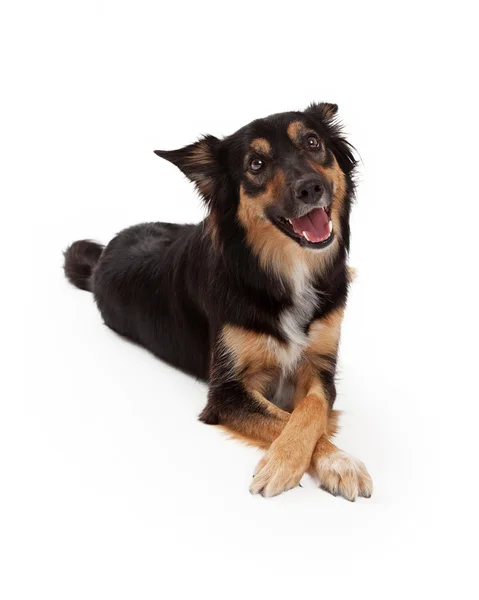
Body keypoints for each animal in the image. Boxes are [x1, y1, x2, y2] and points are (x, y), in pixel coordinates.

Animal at [63, 104, 374, 502]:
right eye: (256, 163)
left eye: (312, 142)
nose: (311, 187)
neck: (283, 270)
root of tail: (104, 252)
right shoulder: (225, 392)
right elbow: (283, 419)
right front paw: (291, 461)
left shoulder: (321, 367)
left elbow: (310, 410)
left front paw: (333, 461)